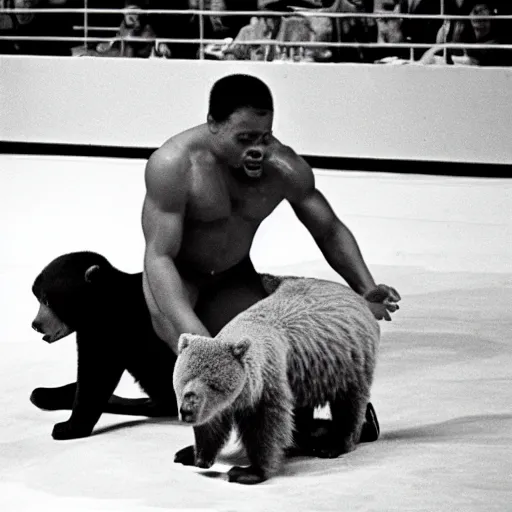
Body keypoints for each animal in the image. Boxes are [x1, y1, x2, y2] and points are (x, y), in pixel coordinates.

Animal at [174, 276, 378, 484]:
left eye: (213, 384)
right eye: (182, 380)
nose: (187, 410)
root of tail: (357, 297)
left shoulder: (268, 384)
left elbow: (266, 426)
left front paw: (249, 471)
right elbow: (212, 423)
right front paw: (195, 454)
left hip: (347, 364)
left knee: (349, 404)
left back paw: (334, 444)